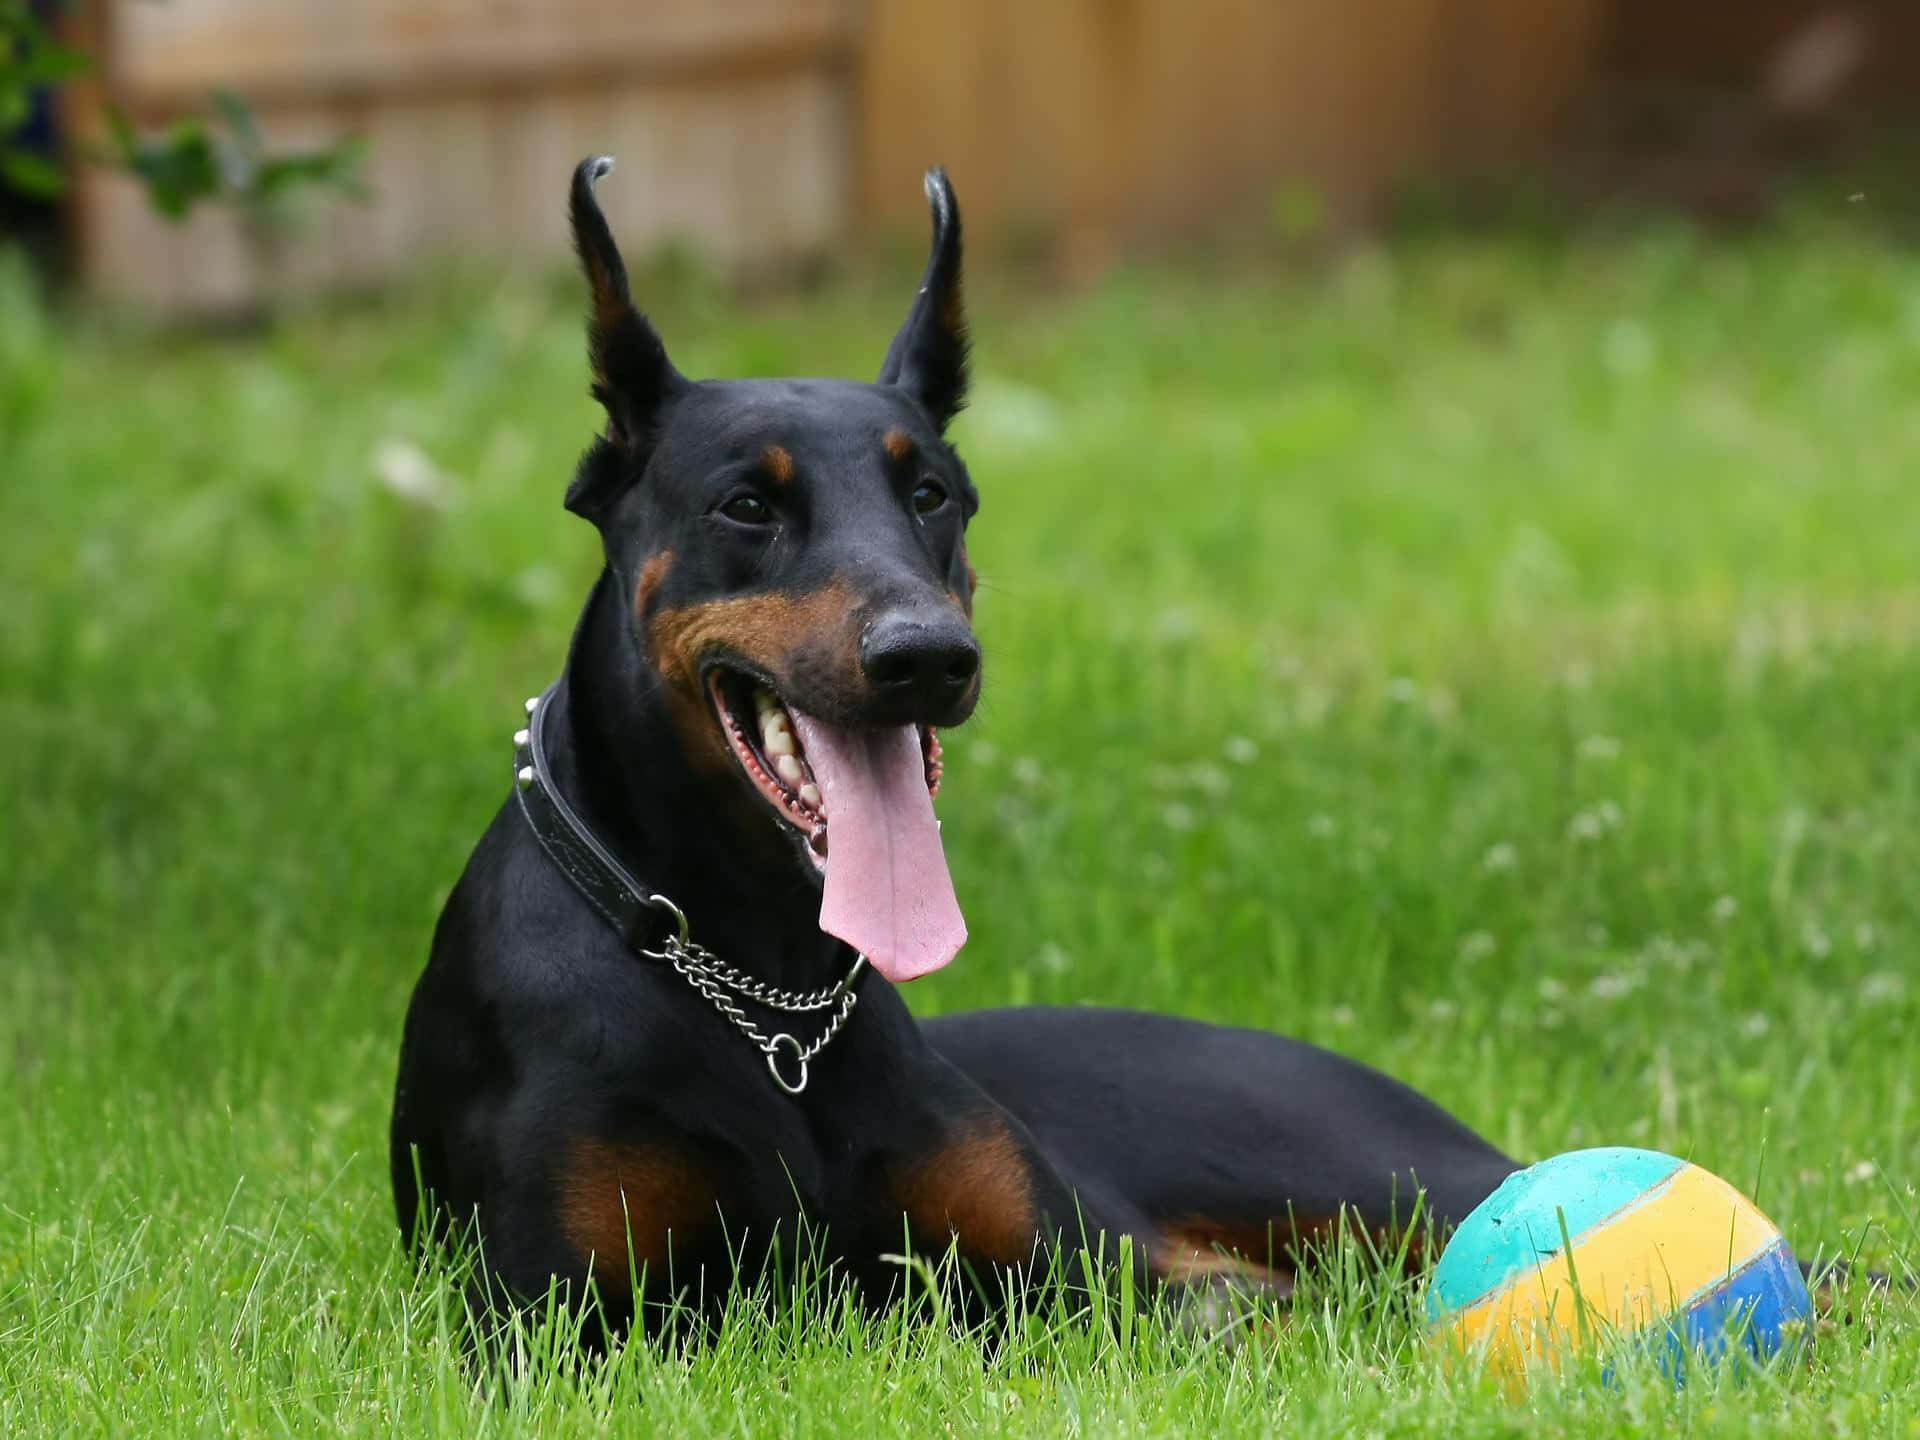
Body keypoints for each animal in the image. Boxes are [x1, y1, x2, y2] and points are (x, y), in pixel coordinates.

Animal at [385, 157, 1528, 1344]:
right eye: (745, 504)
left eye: (928, 493)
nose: (926, 656)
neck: (771, 1004)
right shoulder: (550, 1317)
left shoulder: (1076, 1275)